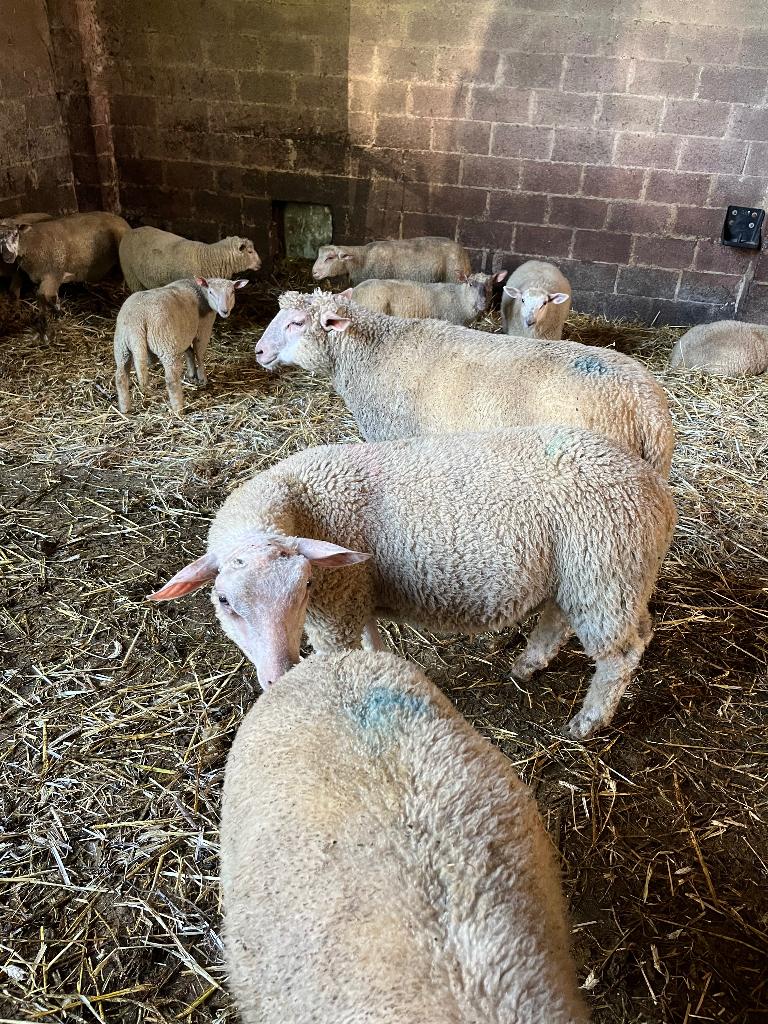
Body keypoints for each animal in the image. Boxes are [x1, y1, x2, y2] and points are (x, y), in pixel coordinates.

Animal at [0, 211, 129, 308]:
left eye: (16, 234)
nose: (8, 256)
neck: (31, 242)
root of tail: (121, 219)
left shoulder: (52, 275)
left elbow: (48, 298)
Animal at [114, 276, 248, 415]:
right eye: (211, 292)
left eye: (232, 292)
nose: (224, 311)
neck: (201, 292)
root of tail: (138, 319)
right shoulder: (203, 328)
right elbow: (199, 354)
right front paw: (202, 378)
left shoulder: (184, 333)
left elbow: (189, 351)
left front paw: (191, 373)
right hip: (165, 344)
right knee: (171, 379)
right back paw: (179, 409)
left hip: (121, 345)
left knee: (120, 377)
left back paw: (124, 408)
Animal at [149, 426, 675, 740]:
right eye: (224, 600)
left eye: (303, 589)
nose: (279, 676)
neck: (299, 504)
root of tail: (655, 488)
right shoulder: (355, 594)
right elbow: (371, 642)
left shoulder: (334, 611)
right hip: (582, 575)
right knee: (561, 617)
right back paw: (529, 664)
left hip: (606, 573)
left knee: (623, 651)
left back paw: (588, 720)